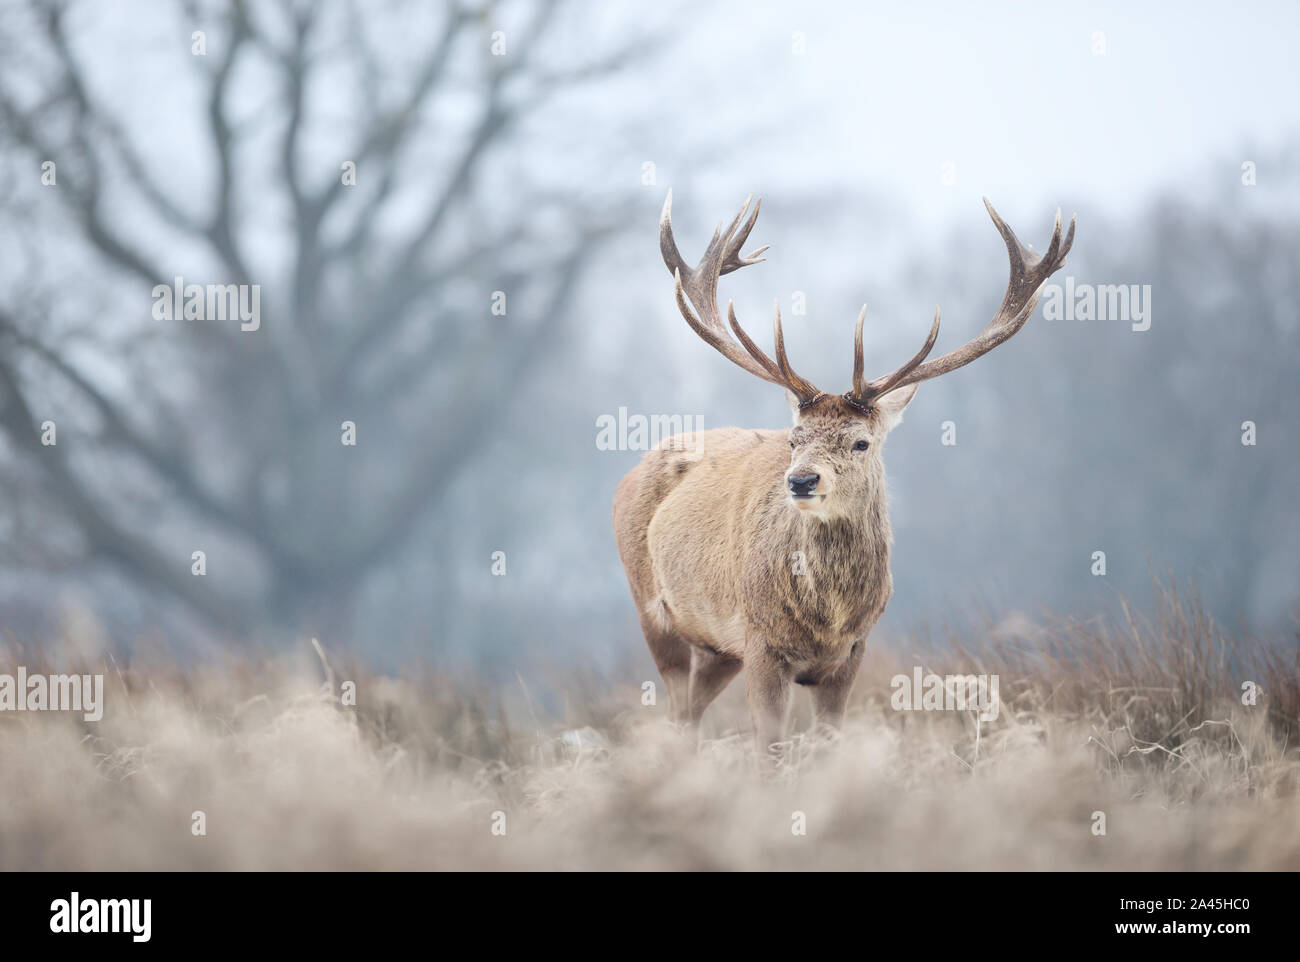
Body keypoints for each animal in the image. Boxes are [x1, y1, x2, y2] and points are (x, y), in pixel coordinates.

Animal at [613, 189, 1071, 764]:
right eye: (793, 438)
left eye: (861, 442)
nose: (801, 482)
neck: (828, 620)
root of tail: (627, 476)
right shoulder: (761, 643)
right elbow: (770, 751)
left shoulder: (852, 653)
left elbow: (829, 744)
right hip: (651, 606)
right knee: (676, 704)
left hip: (719, 648)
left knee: (689, 712)